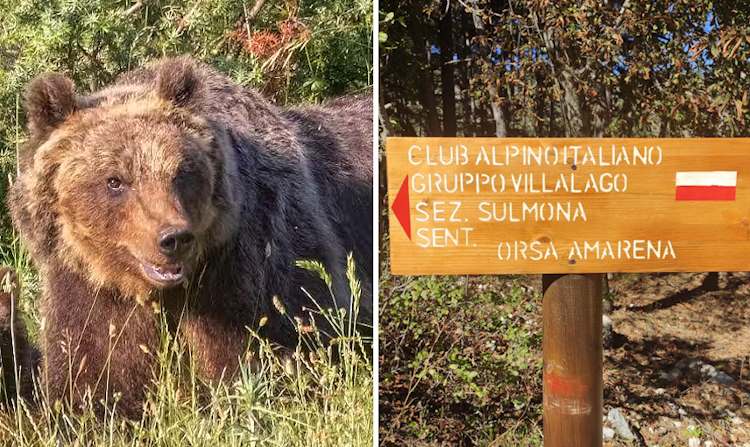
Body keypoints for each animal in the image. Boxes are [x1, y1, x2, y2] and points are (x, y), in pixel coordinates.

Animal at [10, 57, 374, 418]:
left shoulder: (251, 264)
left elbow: (273, 347)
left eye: (181, 173)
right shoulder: (92, 289)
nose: (173, 239)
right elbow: (95, 369)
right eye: (114, 180)